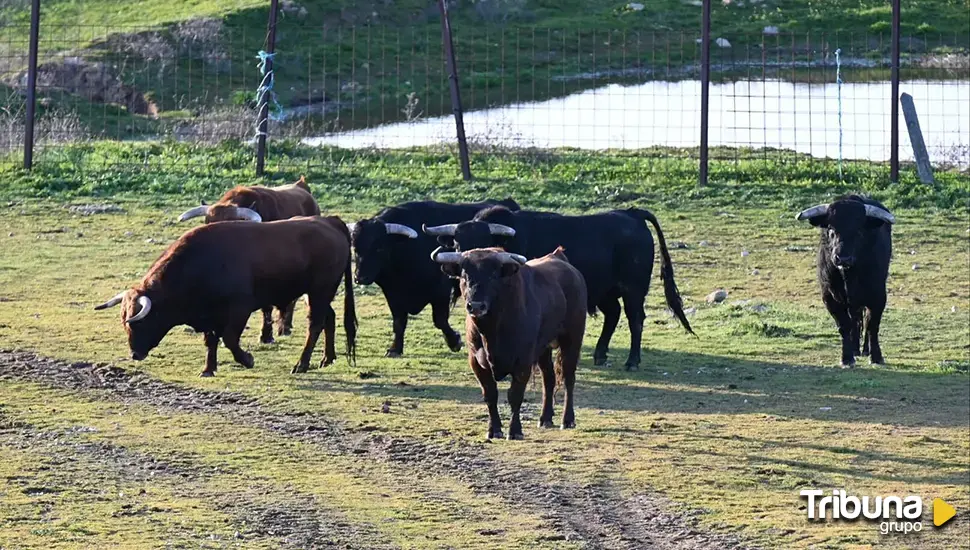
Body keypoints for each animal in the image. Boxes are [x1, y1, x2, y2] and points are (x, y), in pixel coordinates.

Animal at [91, 216, 352, 380]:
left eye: (140, 322)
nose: (135, 354)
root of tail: (329, 221)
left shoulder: (239, 309)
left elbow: (229, 339)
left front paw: (247, 359)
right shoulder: (209, 314)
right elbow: (211, 340)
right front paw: (208, 369)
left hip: (319, 291)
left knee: (315, 325)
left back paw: (302, 364)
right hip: (318, 295)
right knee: (329, 318)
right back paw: (327, 358)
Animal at [426, 205, 696, 368]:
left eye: (484, 241)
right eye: (458, 243)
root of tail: (632, 214)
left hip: (633, 289)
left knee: (635, 319)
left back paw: (632, 361)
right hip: (606, 291)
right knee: (613, 314)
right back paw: (600, 354)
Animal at [434, 248, 588, 442]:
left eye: (493, 275)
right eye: (464, 275)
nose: (475, 306)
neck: (492, 331)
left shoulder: (523, 362)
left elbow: (515, 396)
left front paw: (515, 430)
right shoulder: (476, 362)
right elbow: (490, 395)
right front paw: (494, 429)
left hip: (572, 339)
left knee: (568, 378)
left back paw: (567, 420)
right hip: (543, 348)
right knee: (549, 379)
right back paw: (545, 418)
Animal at [796, 196, 892, 368]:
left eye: (859, 231)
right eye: (831, 230)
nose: (843, 258)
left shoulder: (878, 296)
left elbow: (872, 325)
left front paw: (876, 357)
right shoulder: (829, 298)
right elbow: (844, 326)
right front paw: (847, 358)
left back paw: (865, 350)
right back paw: (854, 349)